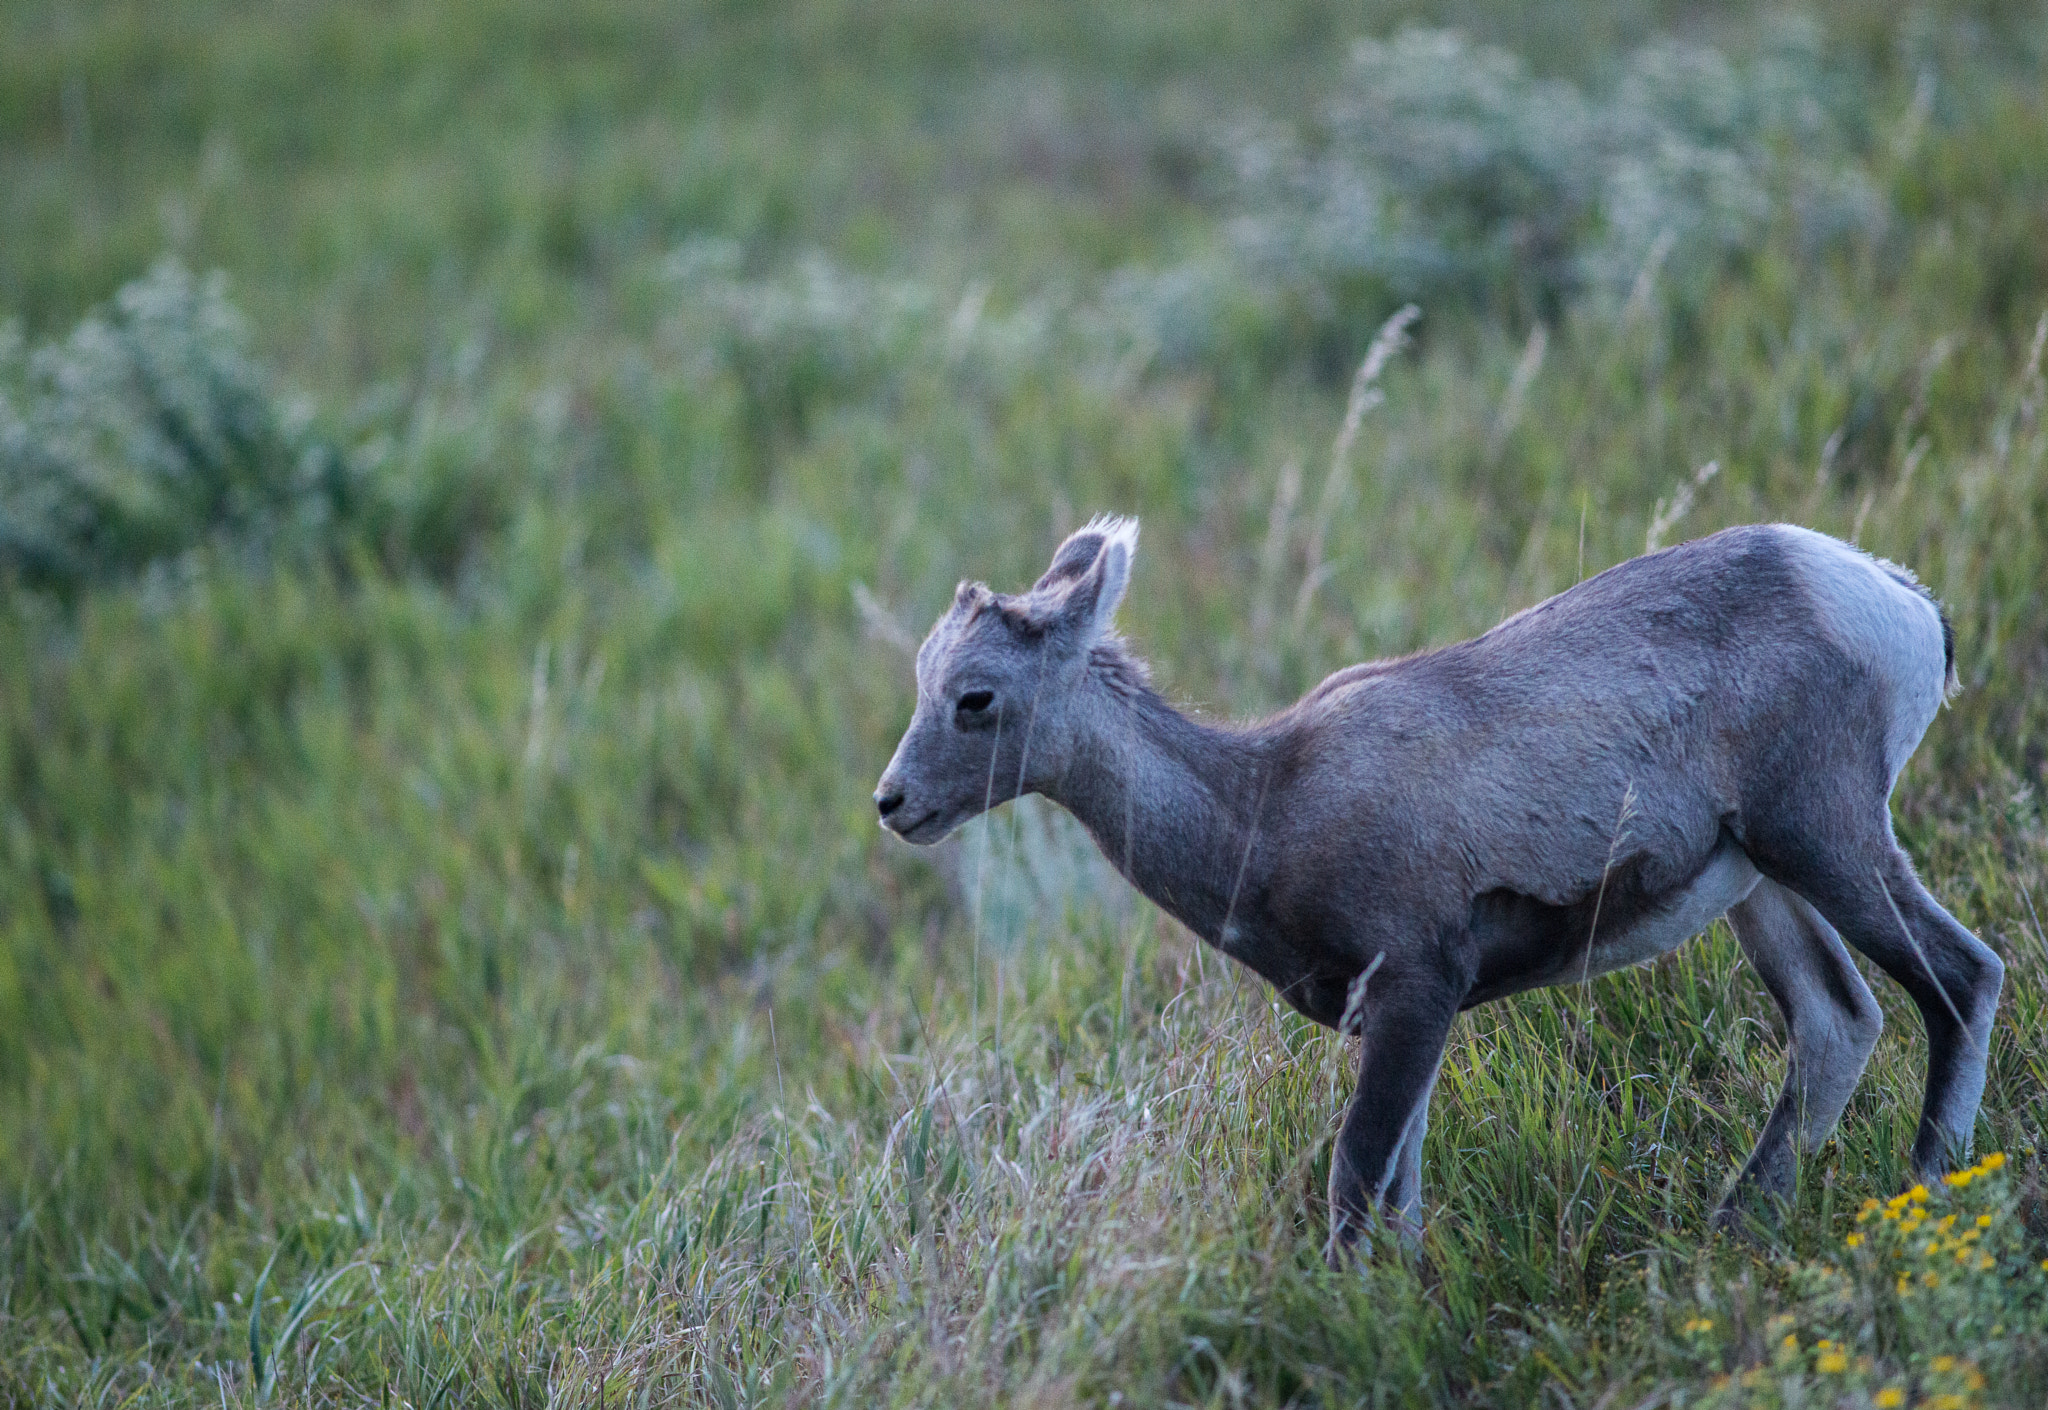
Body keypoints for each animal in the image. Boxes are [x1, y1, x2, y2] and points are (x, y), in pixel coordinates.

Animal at [872, 518, 2007, 1254]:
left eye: (975, 698)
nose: (892, 803)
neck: (1261, 810)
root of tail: (1895, 598)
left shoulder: (1416, 989)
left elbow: (1355, 1184)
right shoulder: (1404, 1022)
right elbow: (1399, 1201)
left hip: (1827, 839)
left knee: (1960, 979)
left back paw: (1922, 1195)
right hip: (1763, 882)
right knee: (1837, 1021)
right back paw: (1738, 1227)